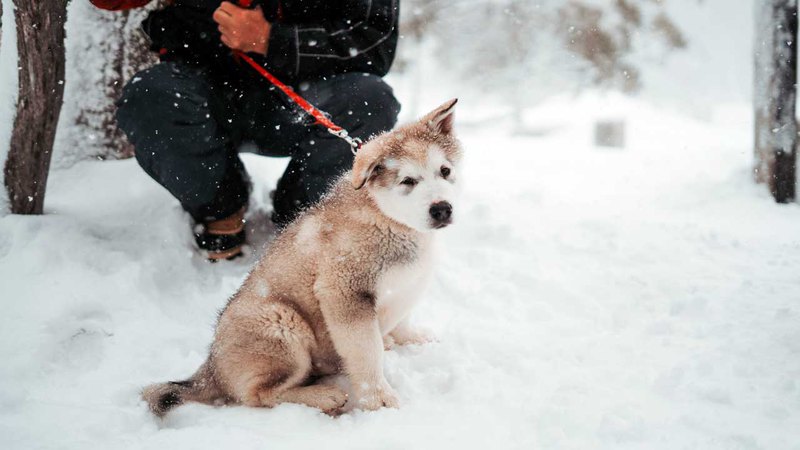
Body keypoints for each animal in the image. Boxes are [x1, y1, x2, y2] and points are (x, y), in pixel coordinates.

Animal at [141, 98, 460, 414]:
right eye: (408, 181)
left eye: (445, 171)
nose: (443, 209)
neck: (388, 219)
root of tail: (212, 367)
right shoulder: (343, 291)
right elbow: (368, 351)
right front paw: (378, 399)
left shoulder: (406, 284)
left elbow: (403, 315)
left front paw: (411, 337)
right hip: (282, 323)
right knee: (259, 394)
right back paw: (324, 395)